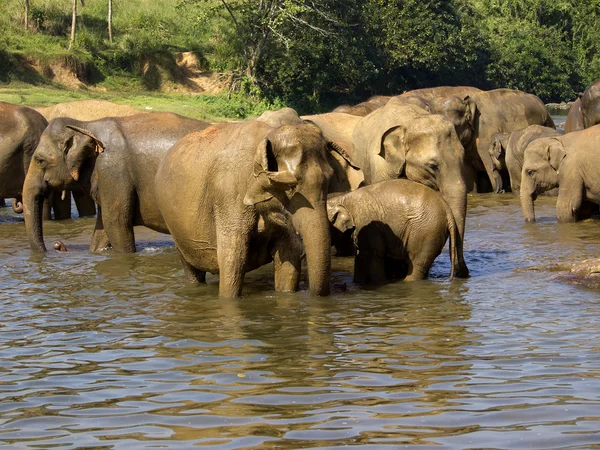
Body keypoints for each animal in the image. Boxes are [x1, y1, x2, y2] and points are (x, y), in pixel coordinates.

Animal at [22, 112, 211, 253]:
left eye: (39, 160)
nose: (57, 245)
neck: (86, 125)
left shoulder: (113, 172)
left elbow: (116, 223)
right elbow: (102, 228)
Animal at [155, 121, 338, 298]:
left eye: (329, 181)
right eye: (290, 186)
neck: (268, 135)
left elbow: (289, 257)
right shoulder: (229, 195)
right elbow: (233, 259)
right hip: (176, 230)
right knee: (192, 270)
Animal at [328, 178, 468, 284]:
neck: (341, 198)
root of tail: (448, 211)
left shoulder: (366, 224)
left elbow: (373, 253)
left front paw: (377, 283)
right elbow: (361, 254)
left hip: (427, 231)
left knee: (416, 262)